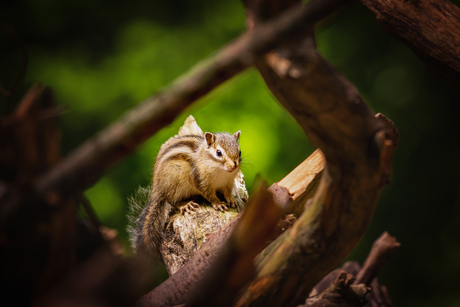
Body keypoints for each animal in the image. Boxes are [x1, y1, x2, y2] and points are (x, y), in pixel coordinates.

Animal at [130, 117, 241, 260]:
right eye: (218, 153)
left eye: (239, 151)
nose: (234, 166)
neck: (220, 171)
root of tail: (157, 192)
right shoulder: (201, 181)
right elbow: (210, 195)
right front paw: (218, 203)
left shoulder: (228, 181)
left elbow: (227, 192)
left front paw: (231, 200)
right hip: (175, 183)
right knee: (171, 201)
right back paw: (185, 205)